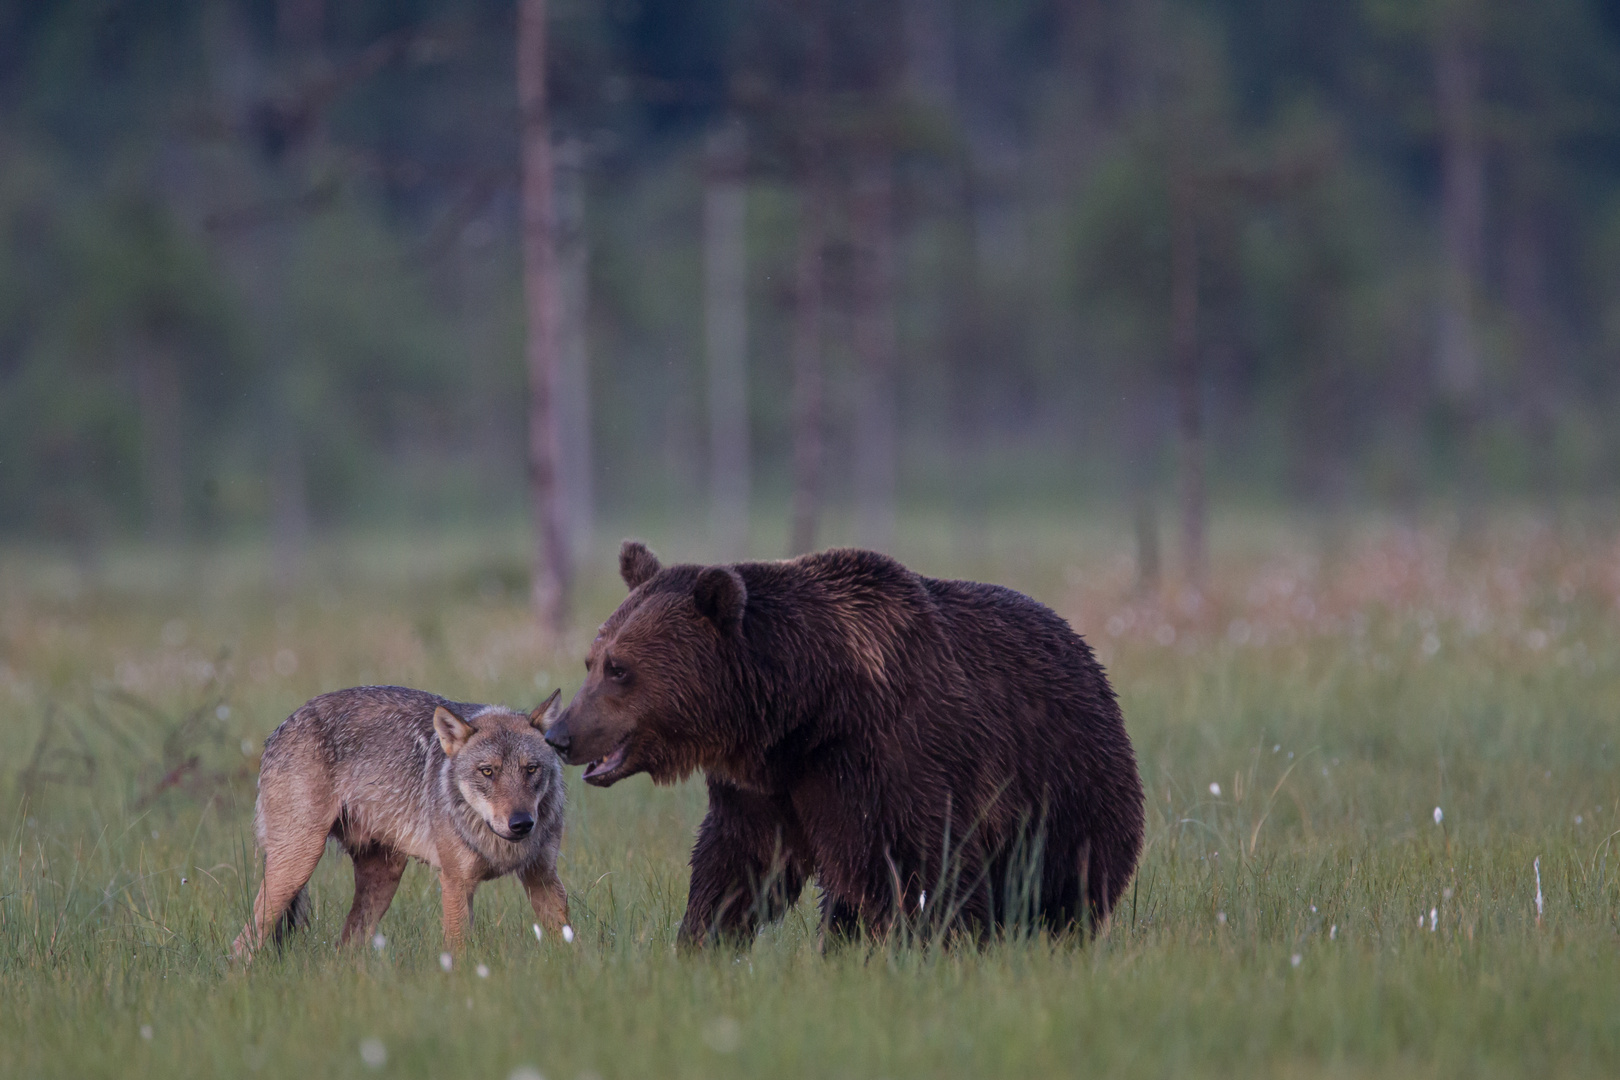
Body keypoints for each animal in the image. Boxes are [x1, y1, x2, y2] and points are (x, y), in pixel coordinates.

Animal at [550, 544, 1146, 939]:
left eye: (619, 668)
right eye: (591, 660)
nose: (560, 734)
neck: (803, 709)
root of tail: (1085, 651)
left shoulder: (889, 755)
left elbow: (926, 865)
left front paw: (948, 942)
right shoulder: (766, 786)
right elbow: (737, 863)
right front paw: (703, 939)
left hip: (1065, 780)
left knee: (1067, 877)